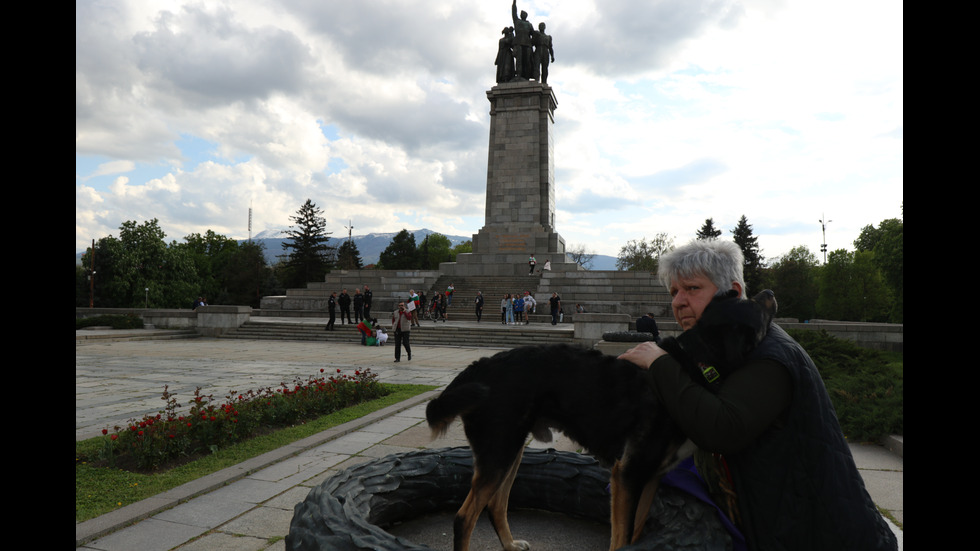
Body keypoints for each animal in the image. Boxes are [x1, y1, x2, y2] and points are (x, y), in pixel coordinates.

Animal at [424, 292, 776, 548]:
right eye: (753, 305)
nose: (770, 293)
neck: (693, 363)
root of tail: (480, 366)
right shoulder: (628, 475)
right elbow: (622, 540)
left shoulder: (648, 478)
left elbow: (634, 535)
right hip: (499, 452)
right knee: (465, 518)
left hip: (509, 451)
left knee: (495, 506)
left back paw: (510, 545)